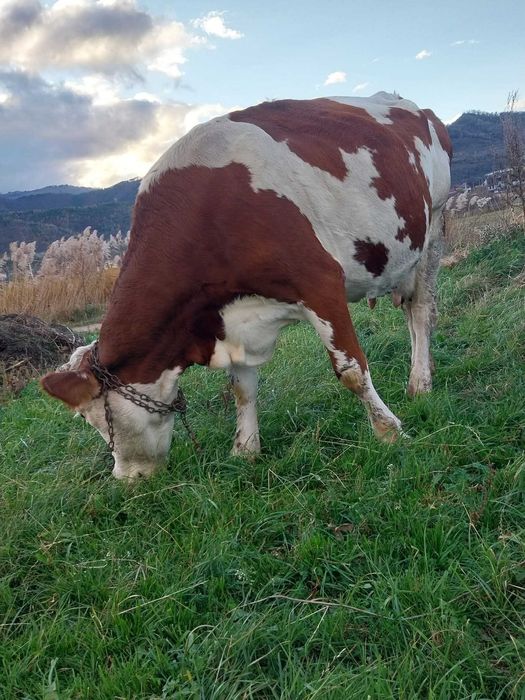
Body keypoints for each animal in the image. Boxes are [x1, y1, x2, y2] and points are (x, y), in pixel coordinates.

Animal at [41, 92, 452, 480]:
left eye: (95, 419)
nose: (127, 478)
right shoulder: (227, 318)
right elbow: (241, 387)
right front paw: (245, 449)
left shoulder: (320, 283)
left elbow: (351, 370)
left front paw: (389, 430)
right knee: (411, 310)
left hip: (433, 224)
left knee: (420, 311)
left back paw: (419, 382)